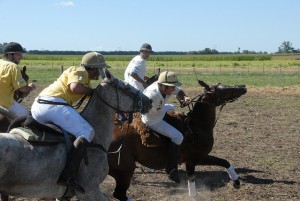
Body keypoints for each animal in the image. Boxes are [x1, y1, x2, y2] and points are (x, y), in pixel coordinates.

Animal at [107, 79, 246, 199]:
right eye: (223, 89)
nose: (243, 86)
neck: (197, 127)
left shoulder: (191, 161)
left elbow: (193, 178)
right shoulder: (197, 157)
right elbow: (224, 162)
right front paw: (236, 182)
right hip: (125, 170)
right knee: (119, 193)